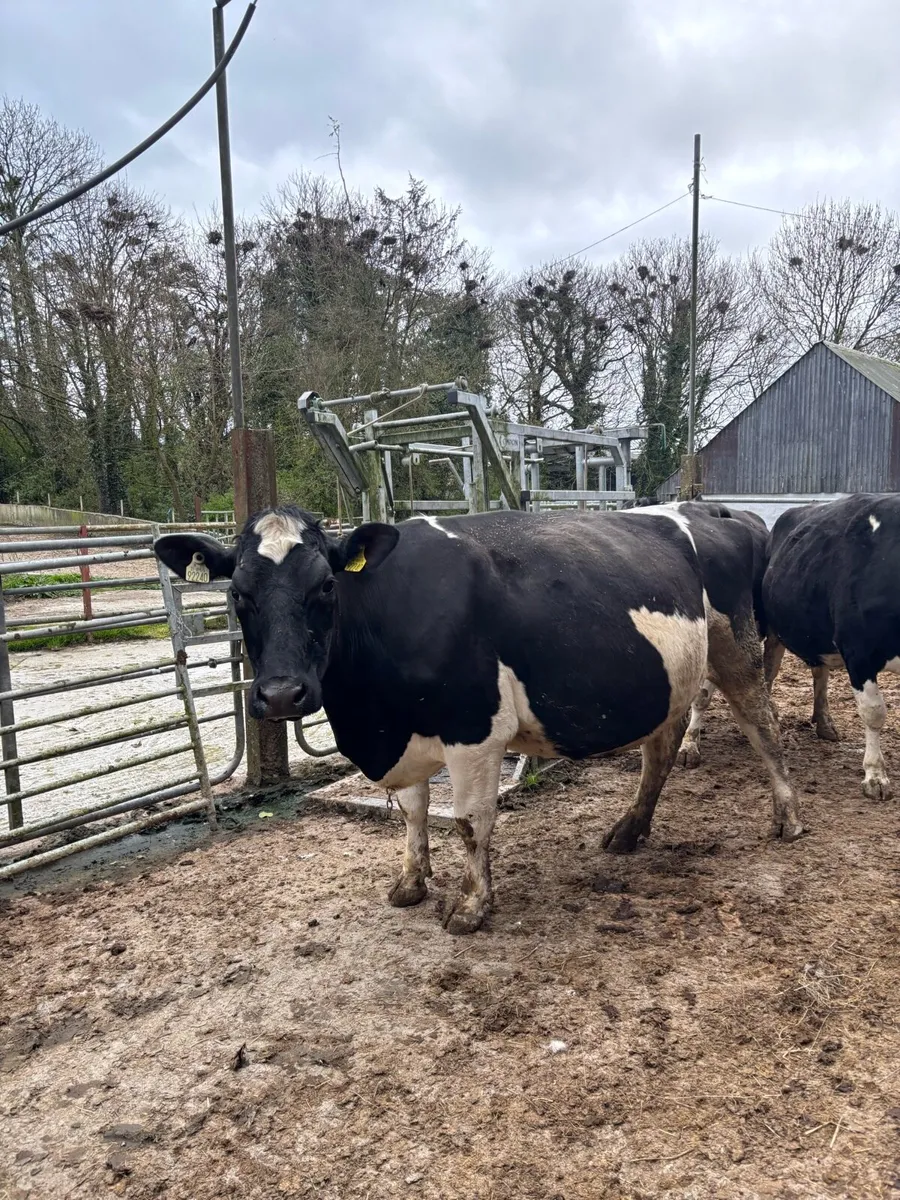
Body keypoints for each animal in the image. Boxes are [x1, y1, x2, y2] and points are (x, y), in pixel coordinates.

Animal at [154, 505, 802, 935]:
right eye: (237, 593)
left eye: (326, 586)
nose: (283, 694)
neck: (372, 717)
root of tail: (716, 509)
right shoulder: (407, 734)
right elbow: (413, 814)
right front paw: (411, 883)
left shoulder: (473, 730)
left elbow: (469, 822)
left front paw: (470, 906)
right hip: (666, 677)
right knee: (659, 750)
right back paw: (629, 831)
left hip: (737, 645)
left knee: (764, 724)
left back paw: (788, 818)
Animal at [763, 493, 900, 800]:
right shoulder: (858, 650)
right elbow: (874, 712)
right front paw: (875, 775)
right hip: (772, 628)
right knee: (769, 671)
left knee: (819, 673)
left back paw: (824, 722)